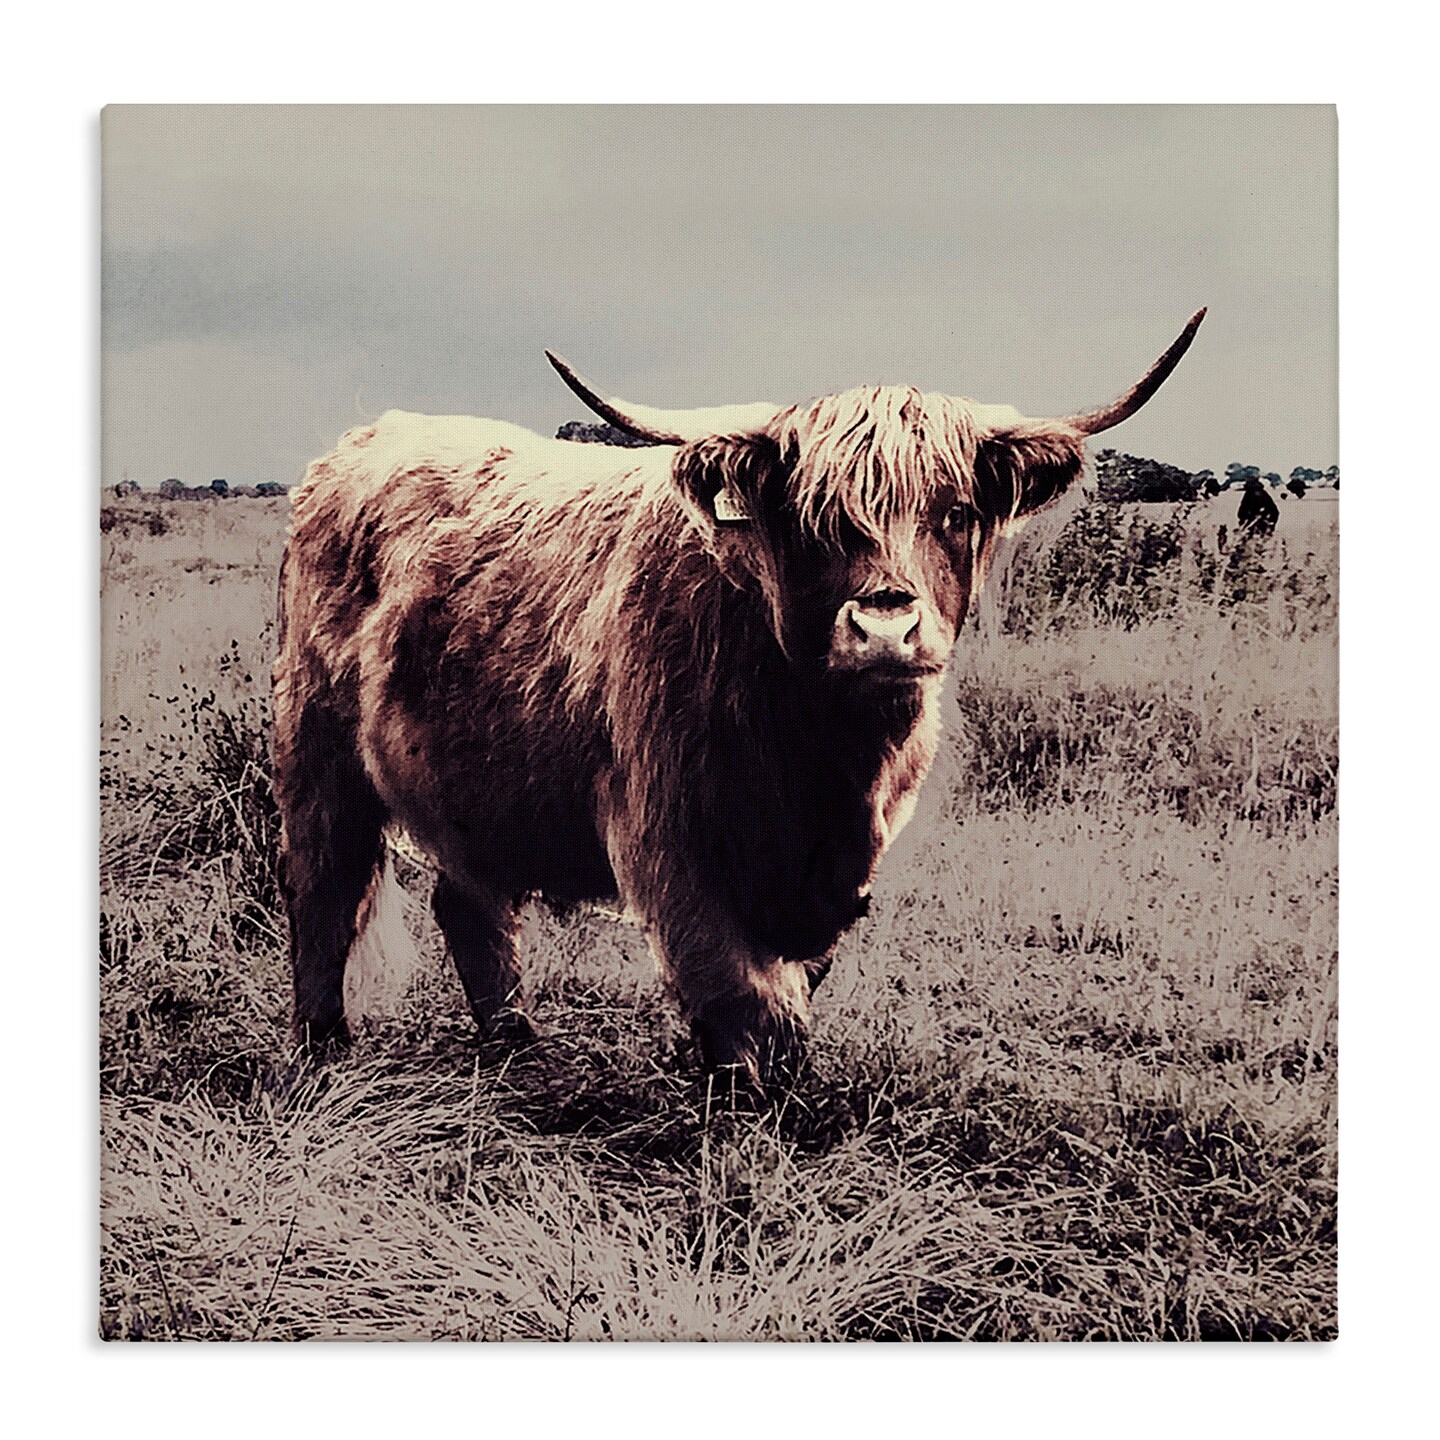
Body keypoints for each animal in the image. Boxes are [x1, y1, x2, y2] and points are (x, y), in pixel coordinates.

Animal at [273, 310, 1206, 1090]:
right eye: (812, 520)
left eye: (955, 511)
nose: (884, 628)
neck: (823, 758)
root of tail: (362, 441)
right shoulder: (669, 837)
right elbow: (742, 996)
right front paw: (748, 1108)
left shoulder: (842, 866)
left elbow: (795, 982)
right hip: (316, 750)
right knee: (324, 889)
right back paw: (323, 1050)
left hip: (474, 782)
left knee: (468, 901)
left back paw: (516, 1047)